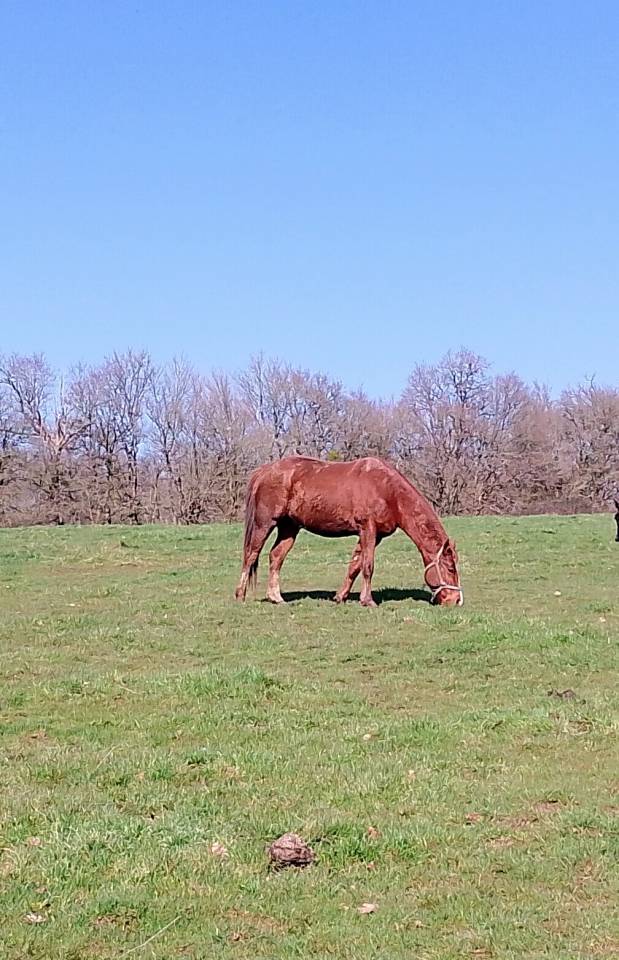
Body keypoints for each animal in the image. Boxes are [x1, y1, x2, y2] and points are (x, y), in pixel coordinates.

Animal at [234, 456, 463, 607]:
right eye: (451, 568)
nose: (456, 600)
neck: (388, 490)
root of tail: (264, 471)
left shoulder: (374, 536)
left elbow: (355, 565)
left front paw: (340, 596)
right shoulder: (367, 529)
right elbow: (368, 566)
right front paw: (367, 601)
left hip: (289, 528)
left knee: (276, 557)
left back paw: (276, 597)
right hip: (264, 524)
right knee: (251, 555)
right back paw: (240, 595)